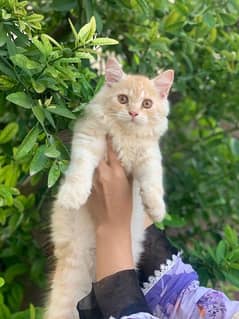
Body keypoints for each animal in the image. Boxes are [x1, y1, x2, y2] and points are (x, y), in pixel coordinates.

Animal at [44, 58, 174, 319]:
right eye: (123, 99)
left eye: (147, 104)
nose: (133, 113)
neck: (125, 136)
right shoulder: (88, 139)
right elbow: (80, 169)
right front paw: (72, 196)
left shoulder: (148, 157)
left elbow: (153, 181)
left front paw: (156, 209)